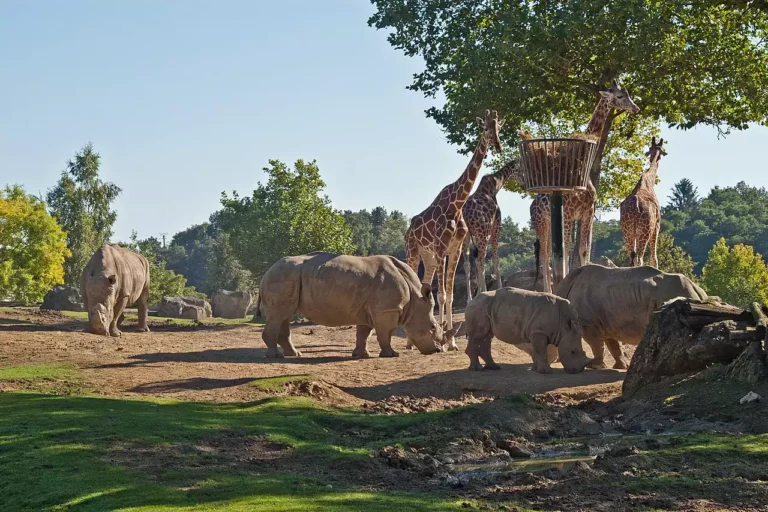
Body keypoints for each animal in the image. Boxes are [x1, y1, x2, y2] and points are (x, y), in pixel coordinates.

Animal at [402, 109, 504, 350]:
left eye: (498, 127)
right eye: (485, 127)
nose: (497, 144)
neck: (457, 204)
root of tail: (408, 231)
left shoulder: (454, 250)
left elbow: (446, 295)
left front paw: (451, 342)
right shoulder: (441, 249)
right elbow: (441, 294)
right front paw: (443, 341)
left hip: (428, 258)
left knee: (424, 286)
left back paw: (416, 340)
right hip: (414, 252)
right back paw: (410, 342)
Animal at [460, 160, 524, 304]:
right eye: (520, 171)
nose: (524, 184)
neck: (495, 186)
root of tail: (466, 215)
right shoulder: (496, 228)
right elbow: (496, 260)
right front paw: (499, 289)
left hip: (465, 238)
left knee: (468, 264)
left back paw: (470, 299)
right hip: (482, 234)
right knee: (481, 261)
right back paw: (482, 292)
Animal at [532, 82, 640, 294]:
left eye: (628, 94)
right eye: (620, 96)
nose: (636, 108)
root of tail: (532, 205)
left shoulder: (587, 212)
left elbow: (583, 249)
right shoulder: (568, 213)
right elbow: (565, 252)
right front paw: (564, 284)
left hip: (549, 223)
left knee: (548, 255)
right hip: (540, 224)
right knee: (545, 257)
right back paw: (548, 292)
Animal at [616, 136, 664, 266]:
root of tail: (635, 206)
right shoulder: (657, 225)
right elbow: (654, 259)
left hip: (627, 230)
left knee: (632, 257)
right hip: (645, 230)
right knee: (639, 258)